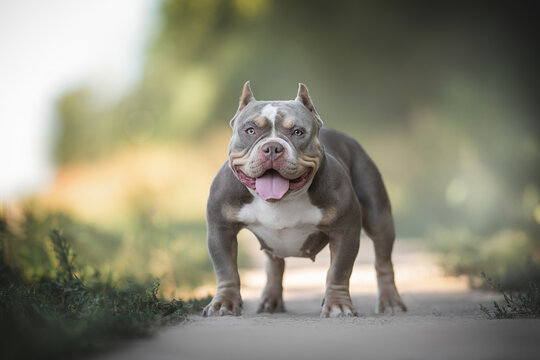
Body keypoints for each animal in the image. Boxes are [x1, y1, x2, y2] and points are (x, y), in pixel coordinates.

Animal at [202, 82, 404, 318]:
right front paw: (223, 303)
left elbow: (338, 271)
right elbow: (226, 270)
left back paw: (390, 302)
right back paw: (271, 302)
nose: (272, 147)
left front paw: (337, 305)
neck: (281, 200)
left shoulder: (345, 231)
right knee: (275, 265)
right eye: (250, 130)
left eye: (297, 132)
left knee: (383, 261)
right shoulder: (221, 229)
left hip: (379, 217)